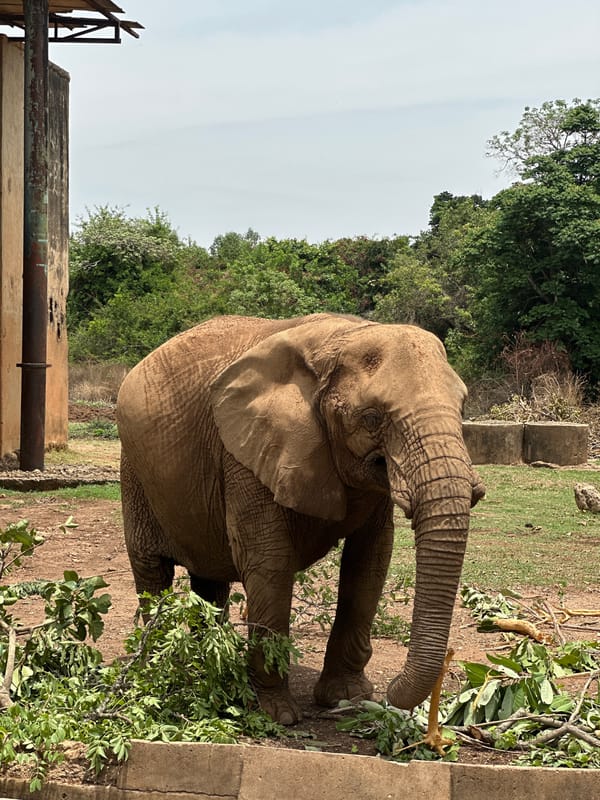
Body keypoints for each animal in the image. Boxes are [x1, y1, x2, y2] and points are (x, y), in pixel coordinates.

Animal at [116, 313, 485, 725]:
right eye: (372, 418)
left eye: (463, 408)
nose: (390, 693)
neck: (344, 335)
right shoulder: (245, 455)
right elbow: (270, 562)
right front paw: (276, 715)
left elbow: (370, 560)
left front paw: (349, 699)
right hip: (134, 473)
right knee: (152, 572)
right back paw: (160, 673)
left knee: (208, 582)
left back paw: (209, 667)